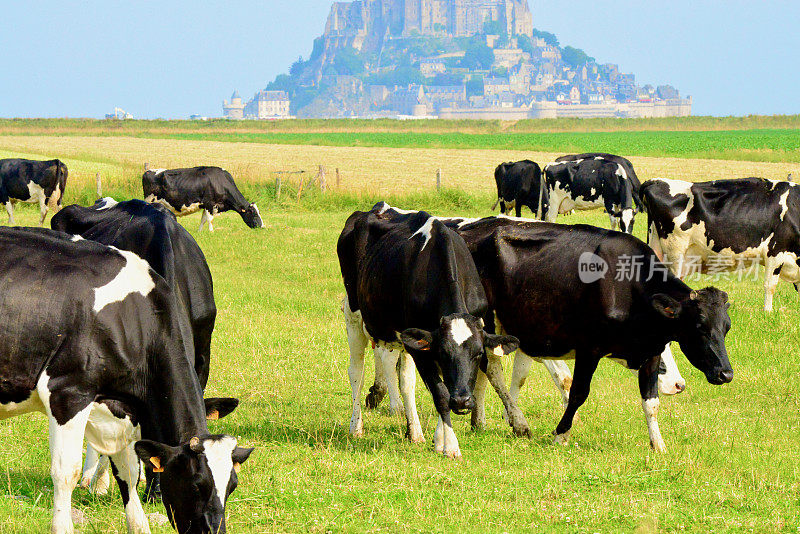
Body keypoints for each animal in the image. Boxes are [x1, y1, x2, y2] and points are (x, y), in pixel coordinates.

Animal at [336, 207, 520, 458]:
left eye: (479, 354)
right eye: (444, 353)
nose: (462, 401)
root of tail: (372, 210)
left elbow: (432, 385)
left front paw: (438, 439)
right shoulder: (424, 351)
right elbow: (440, 393)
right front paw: (450, 446)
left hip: (403, 338)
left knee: (405, 381)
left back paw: (414, 432)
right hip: (353, 316)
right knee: (356, 372)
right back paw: (356, 427)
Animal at [446, 218, 736, 452]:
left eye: (726, 327)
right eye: (699, 327)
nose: (726, 374)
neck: (630, 287)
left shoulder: (651, 351)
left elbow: (651, 402)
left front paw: (659, 445)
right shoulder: (589, 348)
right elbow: (577, 393)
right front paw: (561, 435)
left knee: (484, 370)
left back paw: (479, 421)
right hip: (487, 319)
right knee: (493, 370)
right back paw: (519, 423)